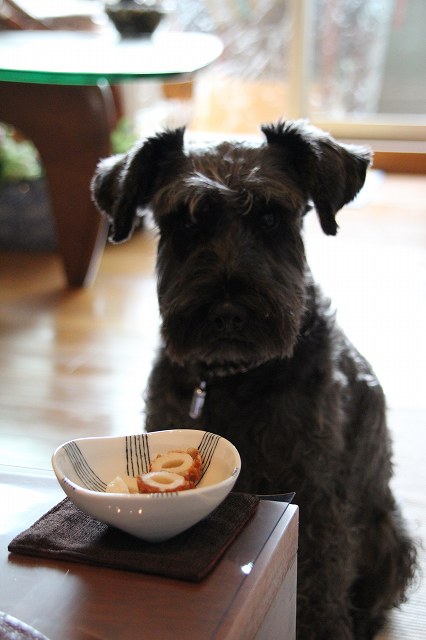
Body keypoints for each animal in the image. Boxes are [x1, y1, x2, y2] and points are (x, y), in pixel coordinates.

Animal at [91, 121, 414, 640]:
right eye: (185, 222)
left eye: (270, 217)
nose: (227, 314)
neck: (234, 379)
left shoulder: (316, 492)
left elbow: (320, 575)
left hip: (388, 537)